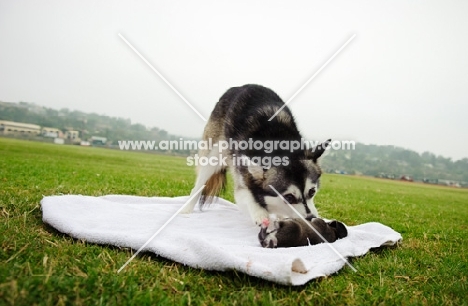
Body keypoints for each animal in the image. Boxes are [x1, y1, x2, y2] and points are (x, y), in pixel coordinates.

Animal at [181, 84, 330, 225]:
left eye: (312, 191)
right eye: (289, 197)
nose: (311, 218)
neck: (276, 142)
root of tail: (240, 86)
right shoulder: (242, 173)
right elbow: (246, 194)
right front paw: (260, 213)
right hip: (214, 154)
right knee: (199, 183)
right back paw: (187, 209)